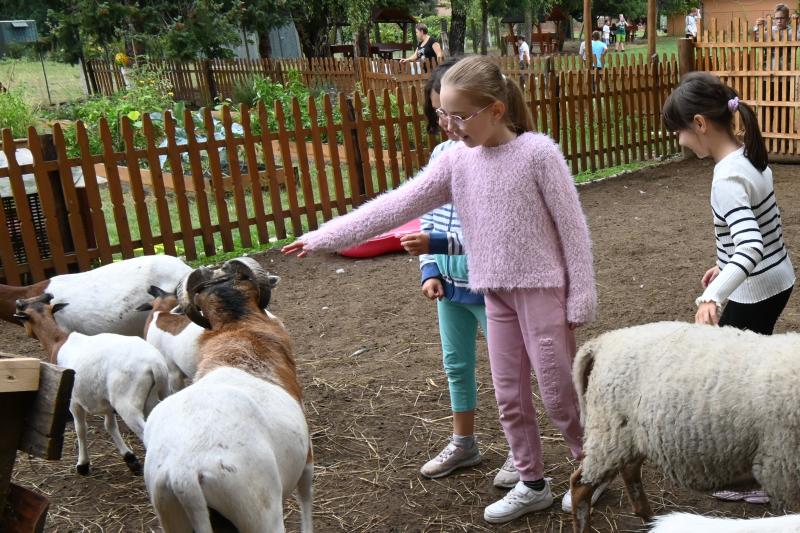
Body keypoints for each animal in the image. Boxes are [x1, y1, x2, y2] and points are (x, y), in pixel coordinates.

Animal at [14, 294, 170, 476]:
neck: (57, 341)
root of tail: (155, 365)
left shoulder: (73, 401)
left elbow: (81, 429)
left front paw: (83, 464)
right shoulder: (105, 401)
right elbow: (110, 426)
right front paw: (130, 459)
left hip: (126, 402)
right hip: (158, 395)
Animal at [564, 320, 800, 532]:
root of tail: (603, 342)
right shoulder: (782, 472)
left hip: (631, 434)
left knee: (629, 471)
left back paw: (651, 521)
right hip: (609, 430)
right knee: (580, 487)